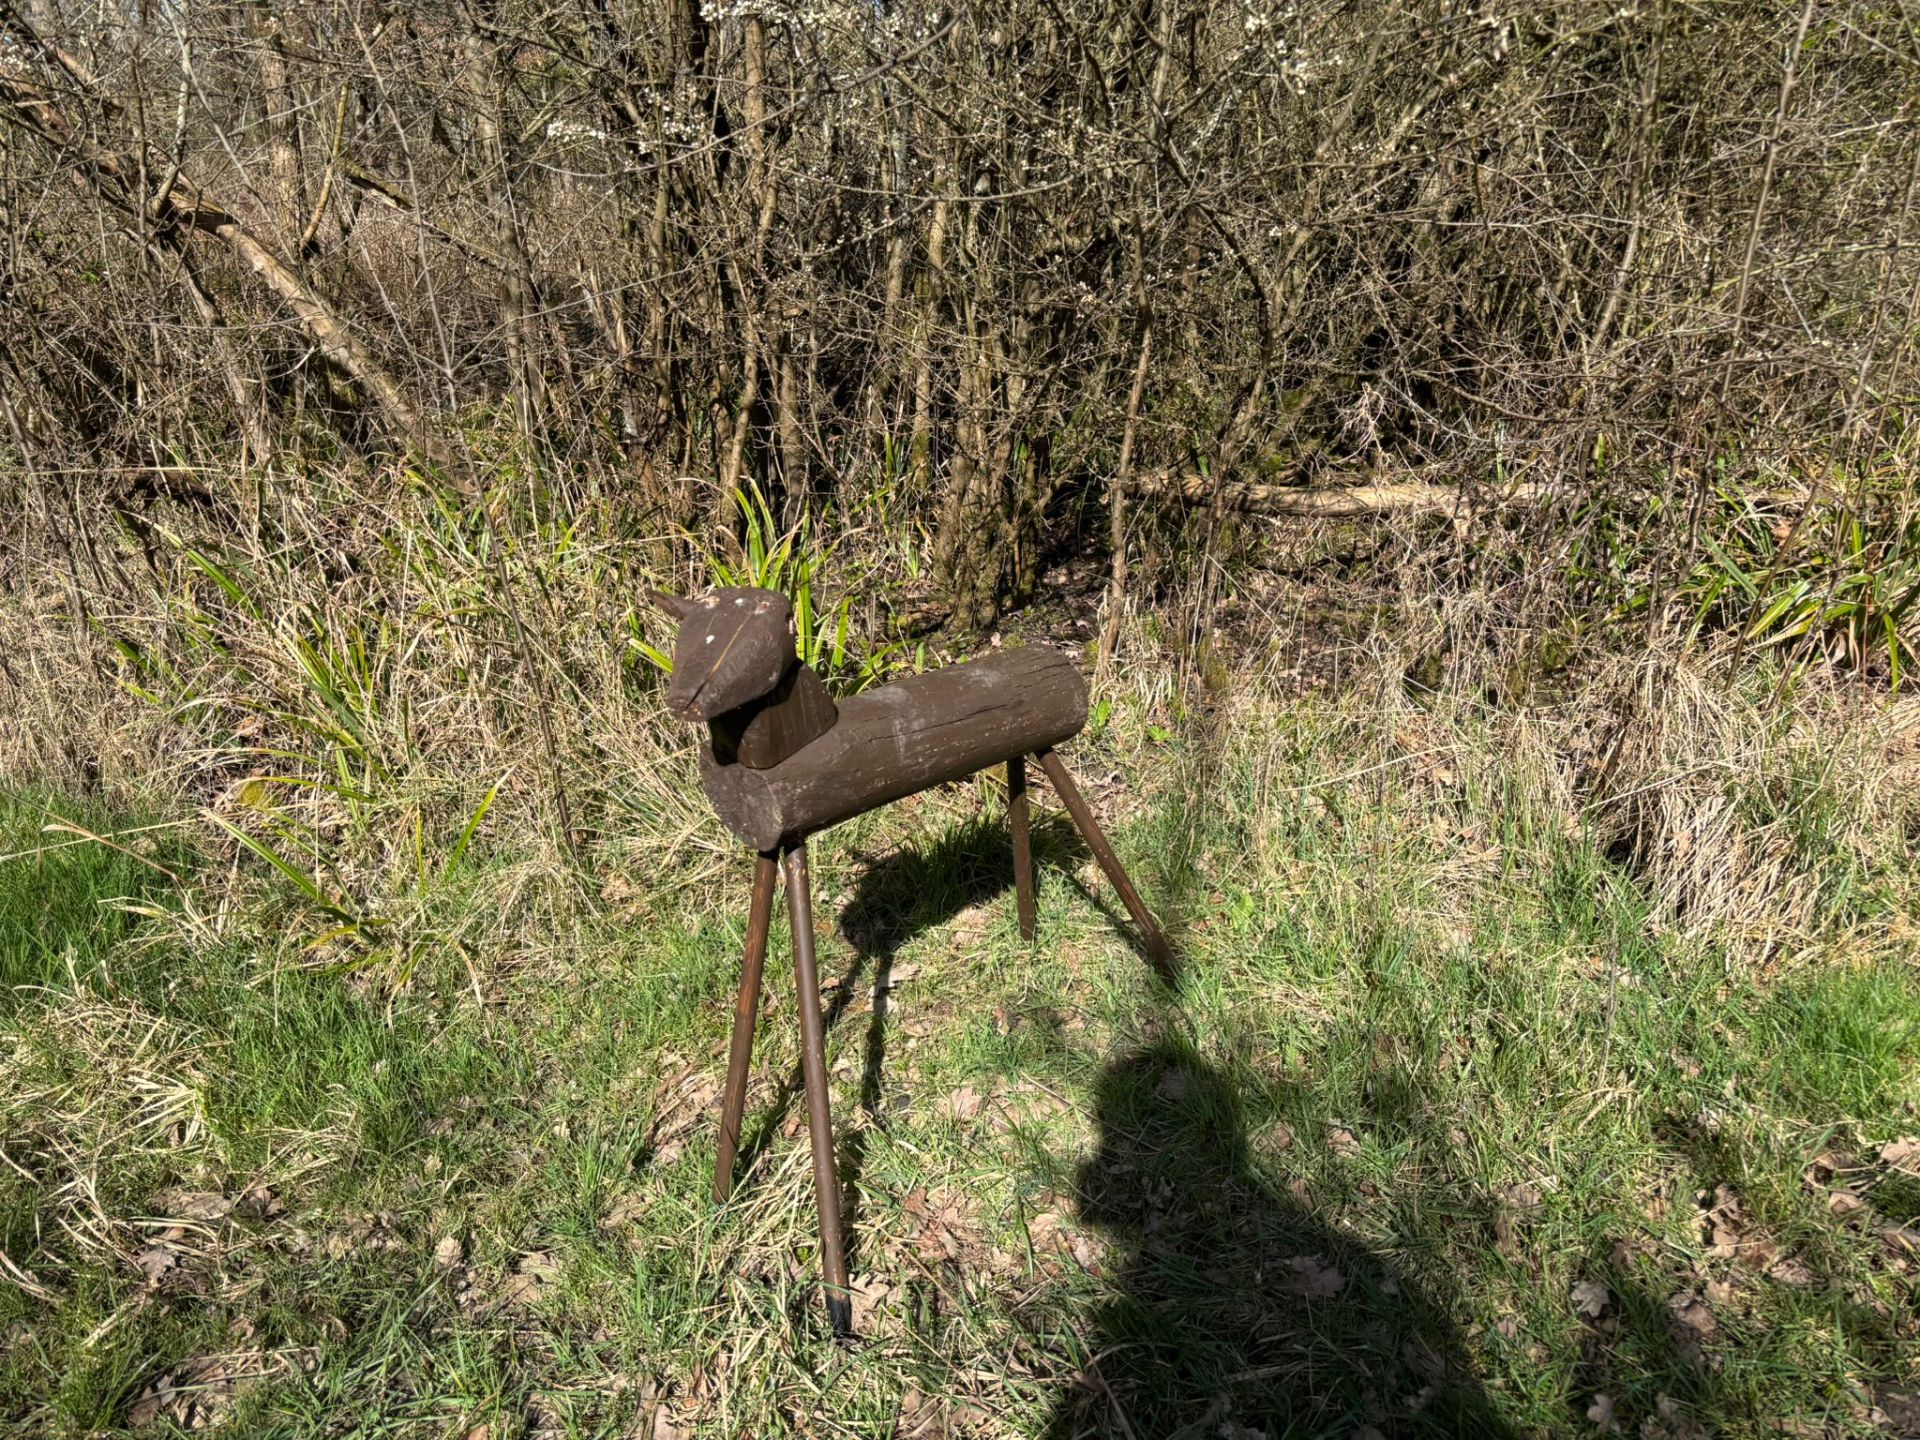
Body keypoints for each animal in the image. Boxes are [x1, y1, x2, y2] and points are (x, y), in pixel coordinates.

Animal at [648, 586, 1174, 1335]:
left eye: (749, 634)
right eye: (689, 631)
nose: (683, 700)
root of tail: (1057, 659)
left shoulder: (793, 845)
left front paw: (838, 1303)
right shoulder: (776, 846)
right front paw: (722, 1193)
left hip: (1047, 744)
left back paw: (1168, 970)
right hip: (1024, 751)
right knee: (1019, 794)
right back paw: (1028, 934)